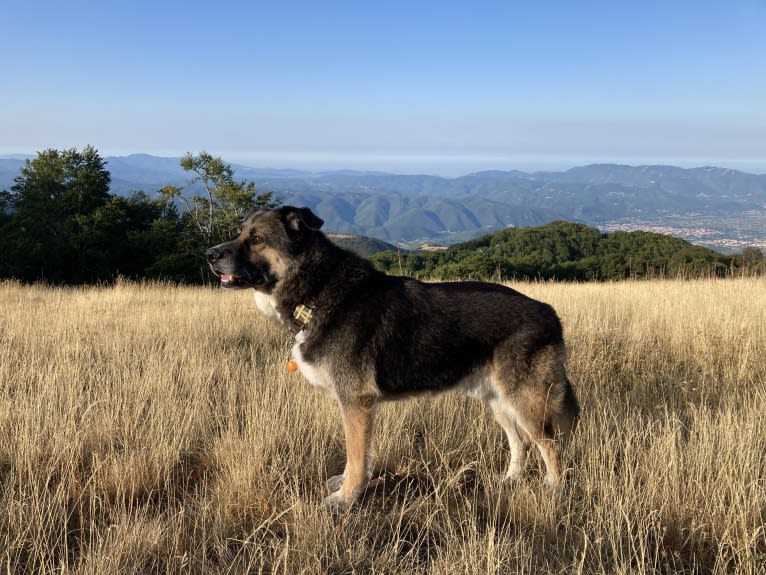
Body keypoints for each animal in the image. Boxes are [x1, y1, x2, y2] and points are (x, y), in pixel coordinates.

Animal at [207, 207, 580, 512]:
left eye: (256, 239)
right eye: (241, 233)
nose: (208, 254)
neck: (317, 288)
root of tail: (549, 313)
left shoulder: (356, 402)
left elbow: (357, 455)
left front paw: (345, 499)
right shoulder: (353, 405)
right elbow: (357, 454)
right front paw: (345, 487)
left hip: (525, 400)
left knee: (550, 445)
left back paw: (555, 490)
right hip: (499, 402)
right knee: (521, 442)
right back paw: (510, 480)